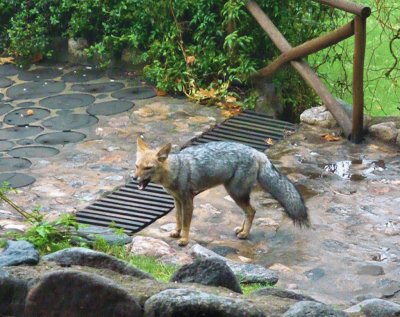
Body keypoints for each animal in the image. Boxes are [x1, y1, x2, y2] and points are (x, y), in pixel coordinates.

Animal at [134, 137, 310, 246]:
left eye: (148, 168)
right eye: (137, 166)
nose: (134, 178)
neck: (176, 168)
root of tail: (257, 152)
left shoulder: (188, 201)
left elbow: (186, 223)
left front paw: (184, 239)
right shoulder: (177, 200)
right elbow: (178, 218)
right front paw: (176, 232)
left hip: (235, 193)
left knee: (252, 211)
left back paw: (245, 234)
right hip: (237, 194)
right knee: (249, 211)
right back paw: (241, 230)